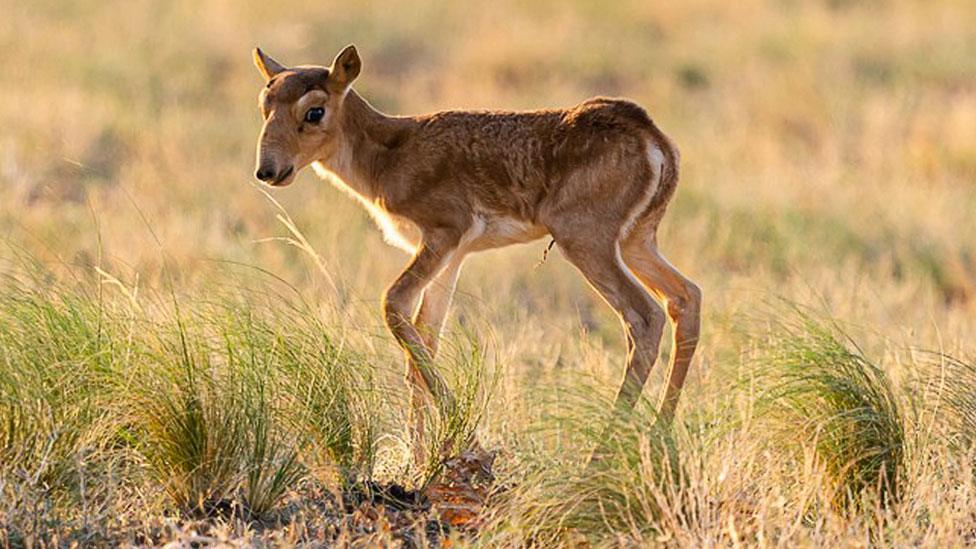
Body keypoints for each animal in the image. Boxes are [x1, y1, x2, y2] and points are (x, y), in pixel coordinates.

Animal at [248, 45, 696, 450]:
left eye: (314, 111)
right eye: (264, 105)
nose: (268, 171)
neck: (391, 150)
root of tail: (650, 135)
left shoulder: (443, 236)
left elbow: (394, 305)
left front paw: (464, 435)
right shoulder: (452, 258)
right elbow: (424, 339)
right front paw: (419, 457)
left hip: (587, 244)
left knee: (643, 317)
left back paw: (600, 455)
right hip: (637, 242)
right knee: (685, 298)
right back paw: (659, 437)